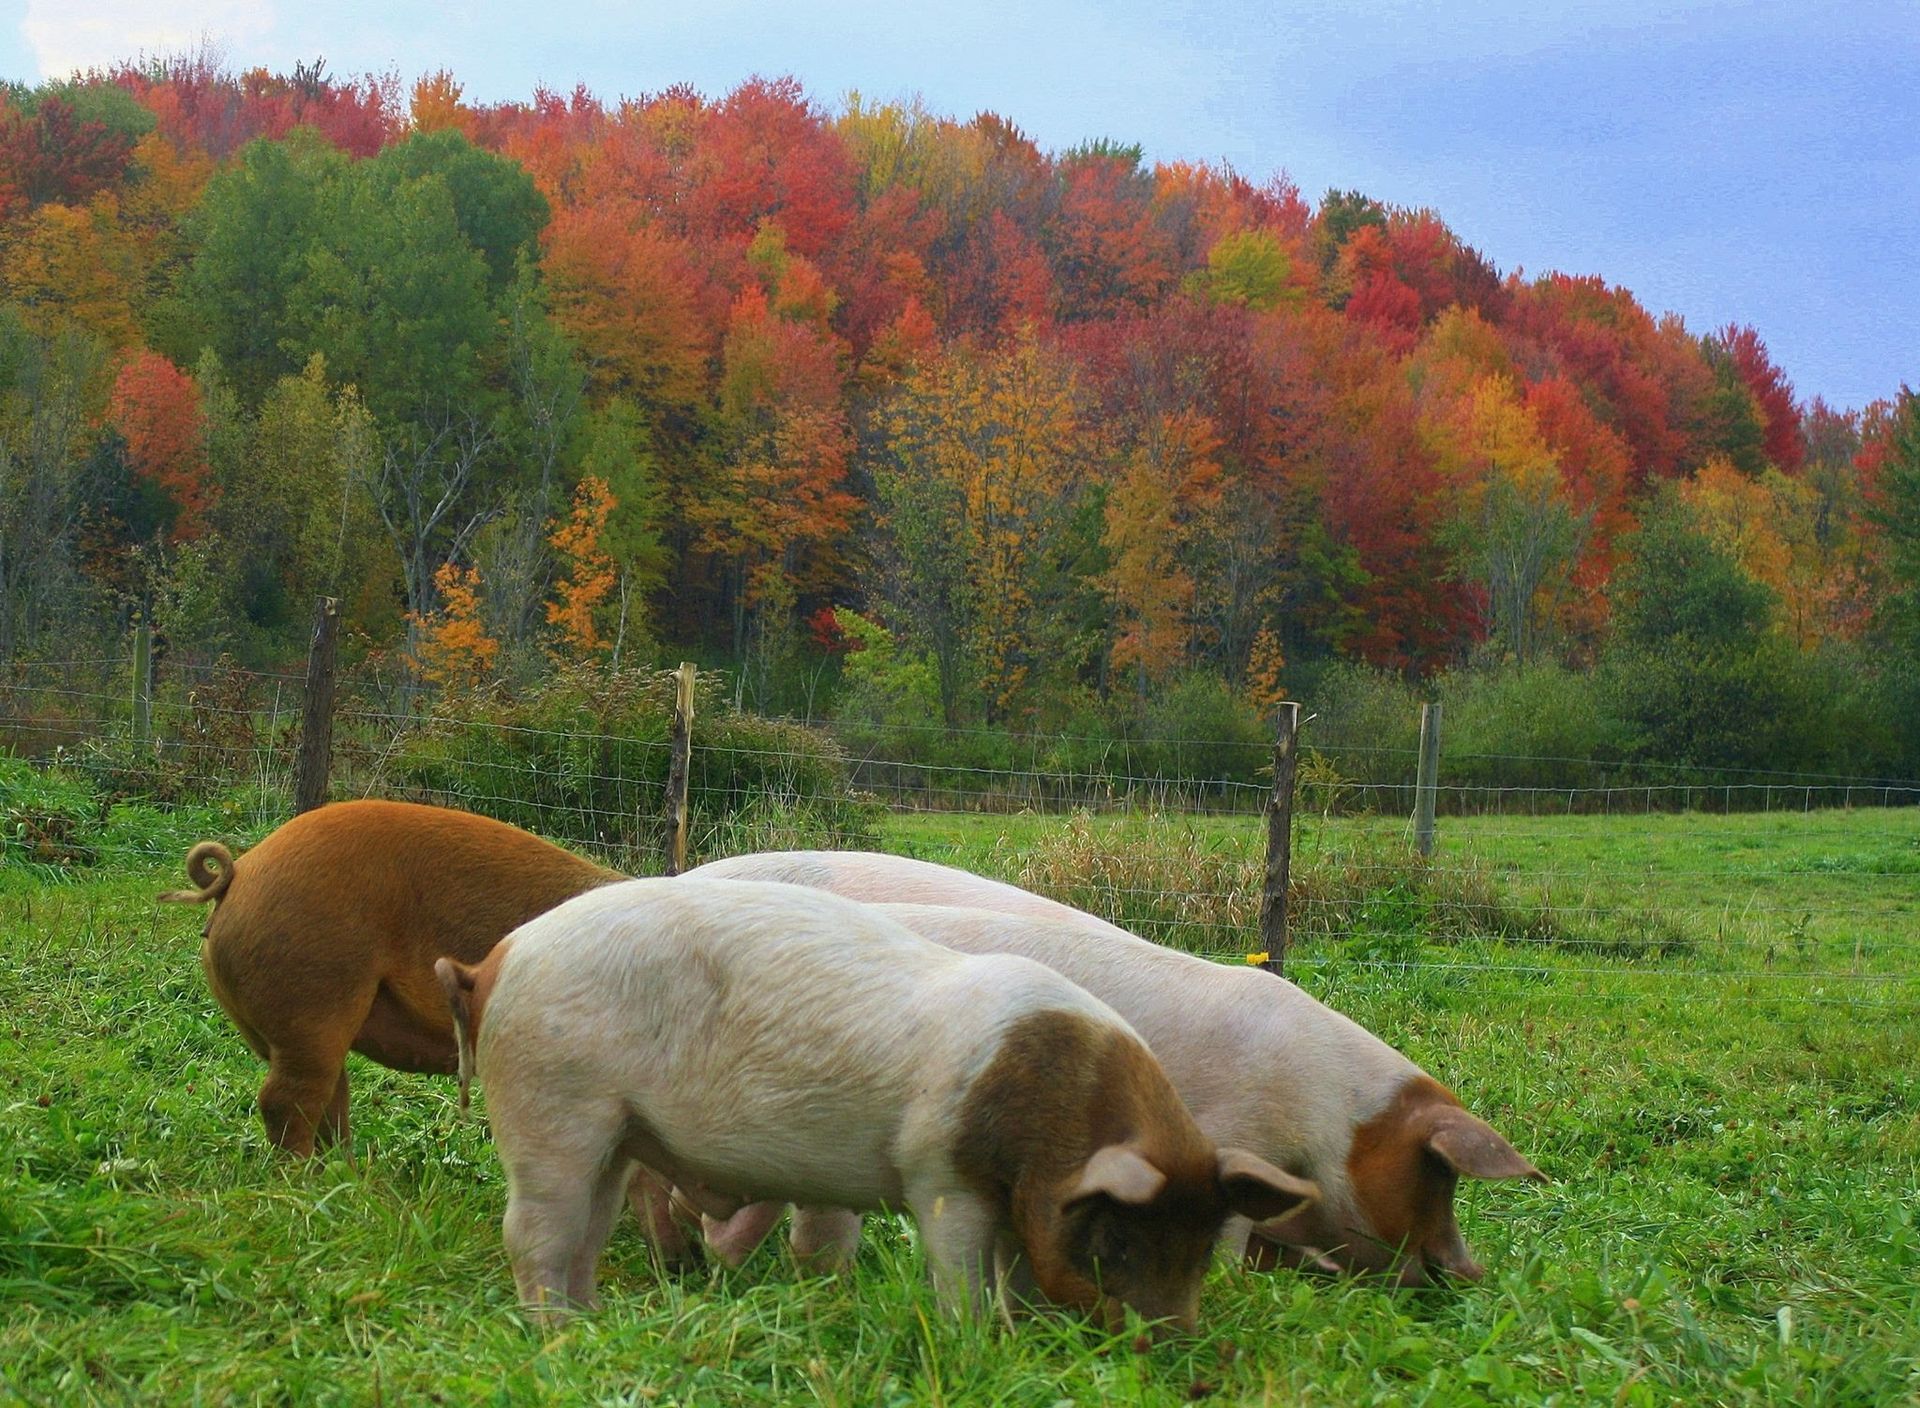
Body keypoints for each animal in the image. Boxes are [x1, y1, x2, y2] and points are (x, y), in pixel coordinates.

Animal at [436, 875, 1316, 1332]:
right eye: (1122, 1245)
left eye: (1199, 1250)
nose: (1174, 1344)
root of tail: (495, 962)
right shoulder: (940, 1174)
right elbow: (960, 1270)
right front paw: (976, 1339)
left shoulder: (1018, 1201)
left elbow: (1018, 1273)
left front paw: (1022, 1333)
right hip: (552, 1105)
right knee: (535, 1229)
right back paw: (553, 1334)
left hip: (617, 1131)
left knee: (591, 1226)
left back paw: (590, 1321)